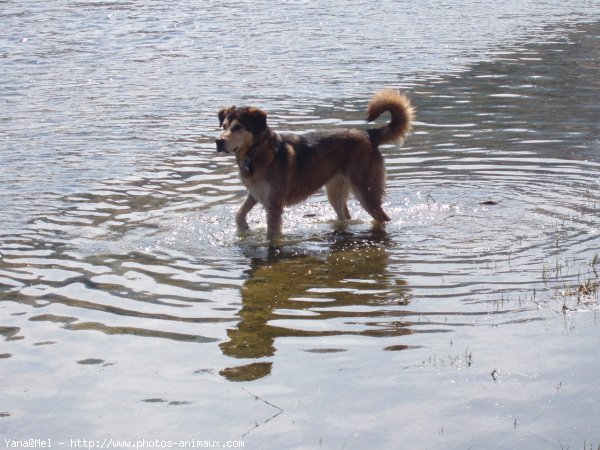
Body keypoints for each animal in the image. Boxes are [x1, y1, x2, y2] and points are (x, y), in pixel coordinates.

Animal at [218, 89, 414, 241]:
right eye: (224, 126)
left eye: (238, 127)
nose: (218, 141)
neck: (256, 153)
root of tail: (368, 134)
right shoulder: (255, 193)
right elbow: (239, 213)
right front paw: (244, 229)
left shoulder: (274, 204)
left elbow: (271, 235)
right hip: (335, 192)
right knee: (346, 216)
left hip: (366, 192)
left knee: (382, 218)